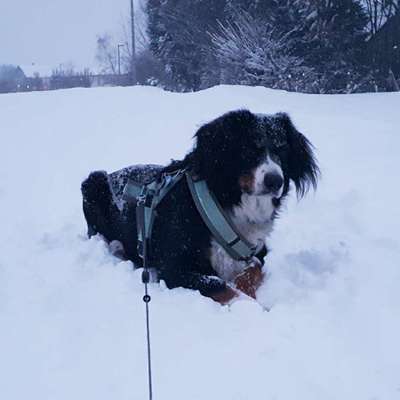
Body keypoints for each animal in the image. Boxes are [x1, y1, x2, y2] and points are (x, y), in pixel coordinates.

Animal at [81, 109, 318, 304]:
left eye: (283, 150)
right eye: (249, 150)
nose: (275, 181)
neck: (223, 204)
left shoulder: (258, 251)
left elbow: (254, 269)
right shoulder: (174, 267)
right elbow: (220, 285)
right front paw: (254, 308)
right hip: (93, 183)